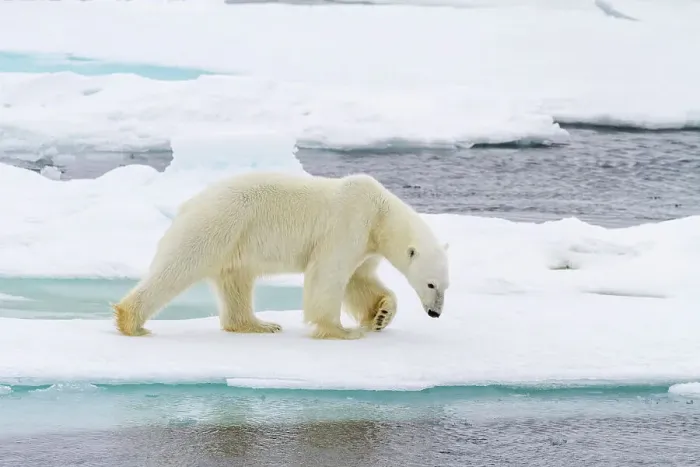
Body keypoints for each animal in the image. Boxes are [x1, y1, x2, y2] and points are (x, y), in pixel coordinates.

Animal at [112, 171, 450, 340]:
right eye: (431, 284)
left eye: (446, 286)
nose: (435, 313)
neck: (380, 212)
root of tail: (190, 203)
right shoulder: (348, 224)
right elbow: (329, 274)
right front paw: (343, 331)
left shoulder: (366, 243)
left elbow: (360, 279)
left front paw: (381, 315)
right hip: (219, 225)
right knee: (178, 267)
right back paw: (132, 321)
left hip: (235, 240)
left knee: (236, 280)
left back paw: (259, 324)